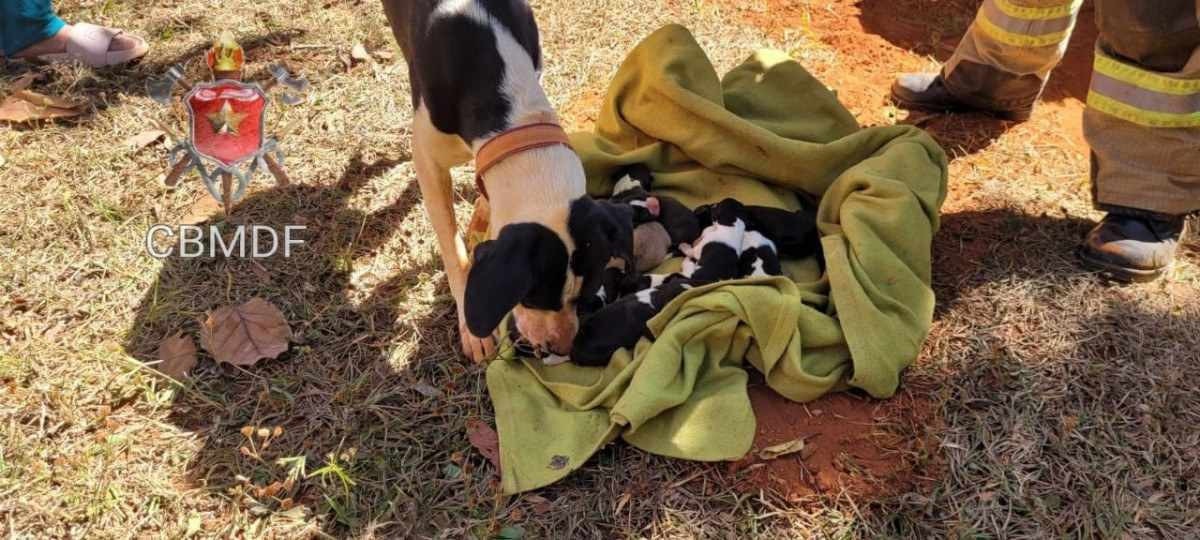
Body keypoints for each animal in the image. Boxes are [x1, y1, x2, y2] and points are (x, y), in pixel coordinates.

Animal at [381, 1, 628, 362]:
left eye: (584, 296)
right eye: (532, 297)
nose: (560, 348)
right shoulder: (427, 158)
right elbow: (453, 249)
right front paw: (473, 332)